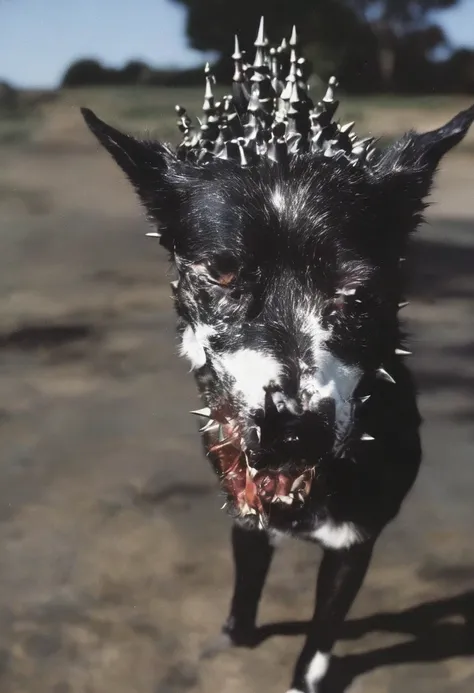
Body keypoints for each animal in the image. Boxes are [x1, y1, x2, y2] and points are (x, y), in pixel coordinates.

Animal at [81, 20, 474, 692]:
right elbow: (246, 585)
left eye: (356, 289)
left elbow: (320, 637)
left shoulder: (355, 544)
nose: (293, 429)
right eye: (220, 272)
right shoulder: (246, 521)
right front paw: (236, 635)